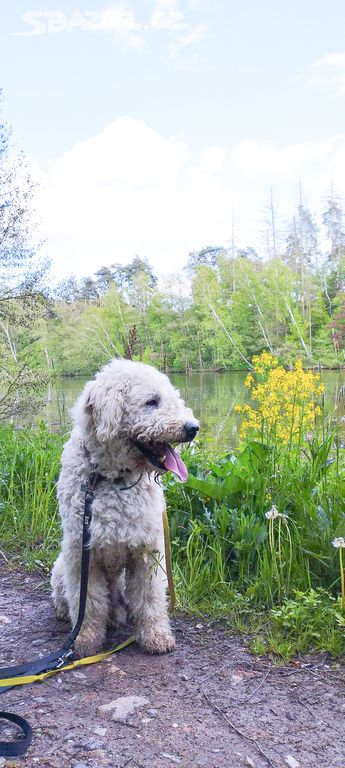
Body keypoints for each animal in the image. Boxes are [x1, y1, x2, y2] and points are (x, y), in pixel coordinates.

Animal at [49, 358, 198, 656]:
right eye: (152, 401)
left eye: (173, 397)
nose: (193, 427)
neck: (109, 478)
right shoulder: (82, 555)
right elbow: (89, 603)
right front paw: (85, 640)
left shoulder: (147, 552)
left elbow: (149, 598)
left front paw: (155, 636)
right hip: (61, 565)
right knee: (68, 596)